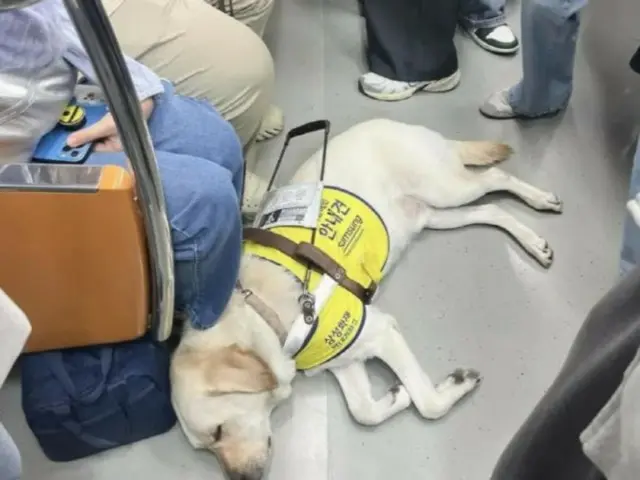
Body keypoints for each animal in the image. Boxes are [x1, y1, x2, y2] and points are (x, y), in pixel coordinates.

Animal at [169, 118, 560, 478]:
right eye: (207, 448)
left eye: (217, 433)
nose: (243, 478)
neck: (261, 312)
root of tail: (393, 122)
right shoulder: (344, 351)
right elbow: (364, 411)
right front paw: (397, 395)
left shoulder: (380, 331)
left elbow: (429, 404)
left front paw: (453, 385)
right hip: (433, 216)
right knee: (489, 209)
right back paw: (533, 242)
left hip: (445, 188)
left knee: (496, 177)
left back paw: (540, 199)